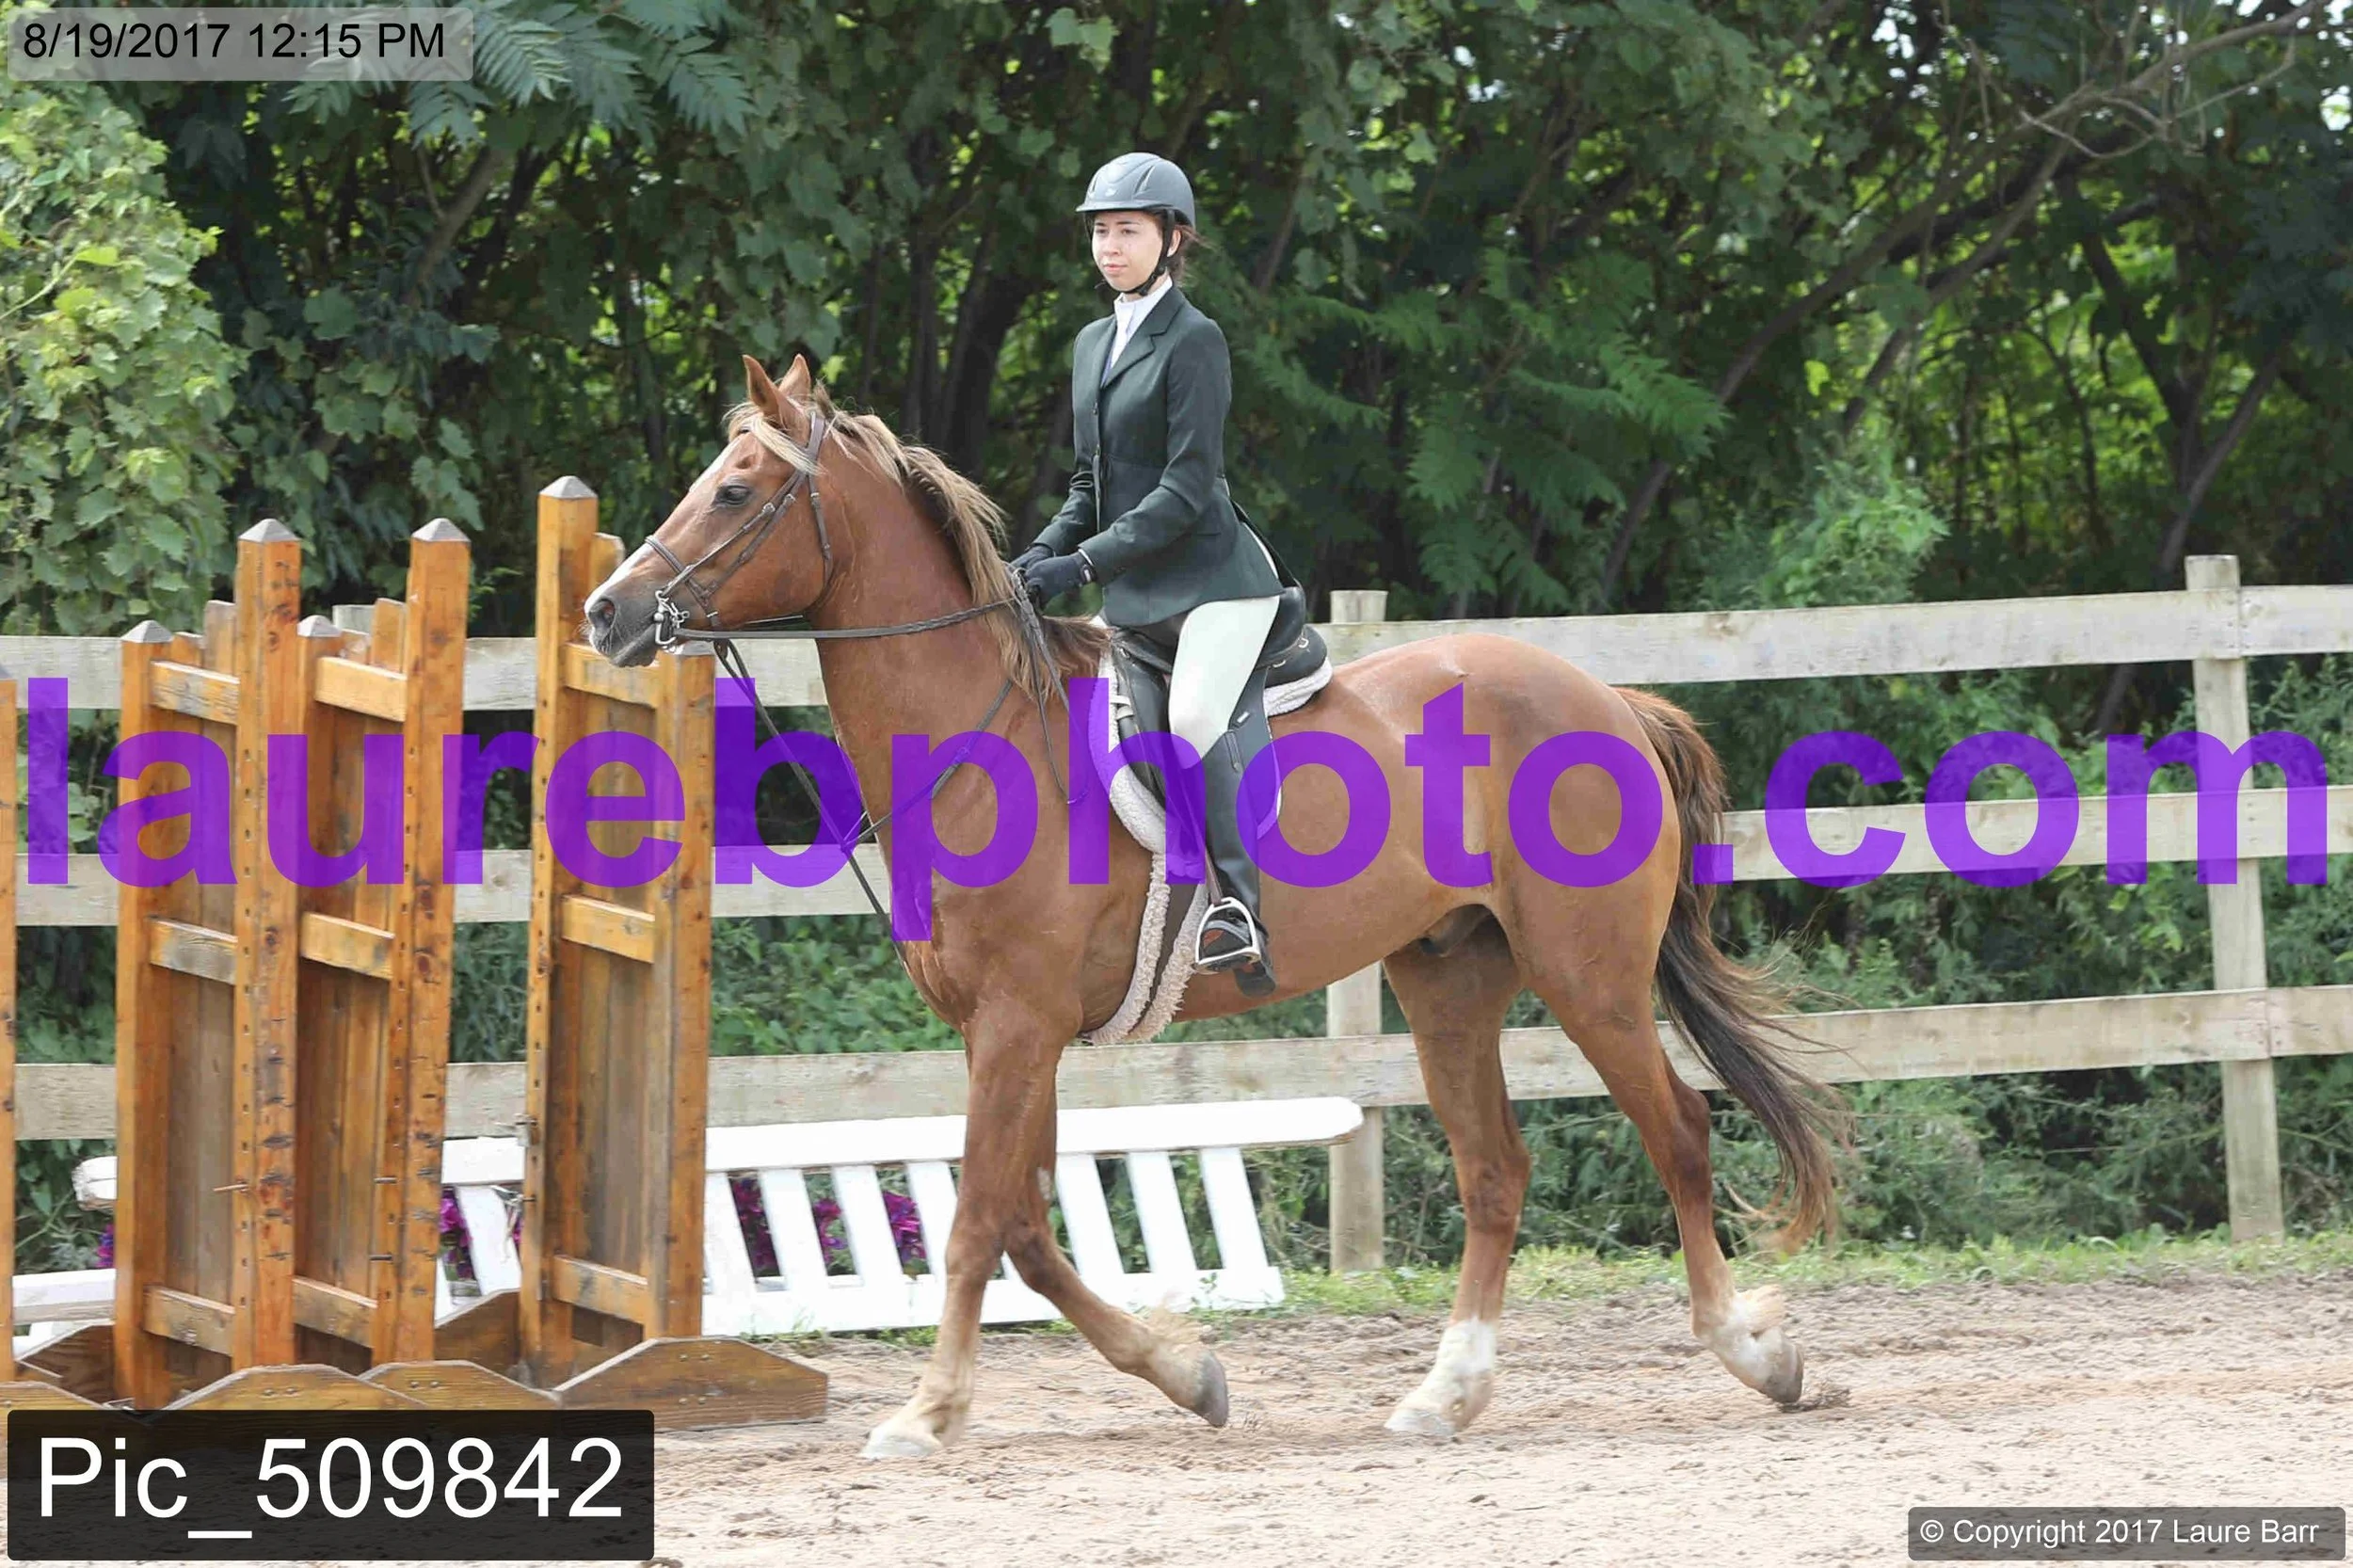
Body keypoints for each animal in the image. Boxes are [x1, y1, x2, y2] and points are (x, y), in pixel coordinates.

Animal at [582, 353, 1843, 1457]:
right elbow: (1028, 1232)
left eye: (733, 489)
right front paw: (1188, 1375)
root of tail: (1611, 697)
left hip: (1587, 975)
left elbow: (976, 1225)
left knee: (1676, 1132)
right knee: (1496, 1171)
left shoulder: (1017, 1024)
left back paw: (1755, 1356)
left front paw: (926, 1414)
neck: (977, 735)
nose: (605, 613)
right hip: (1448, 975)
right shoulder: (1011, 1033)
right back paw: (1443, 1395)